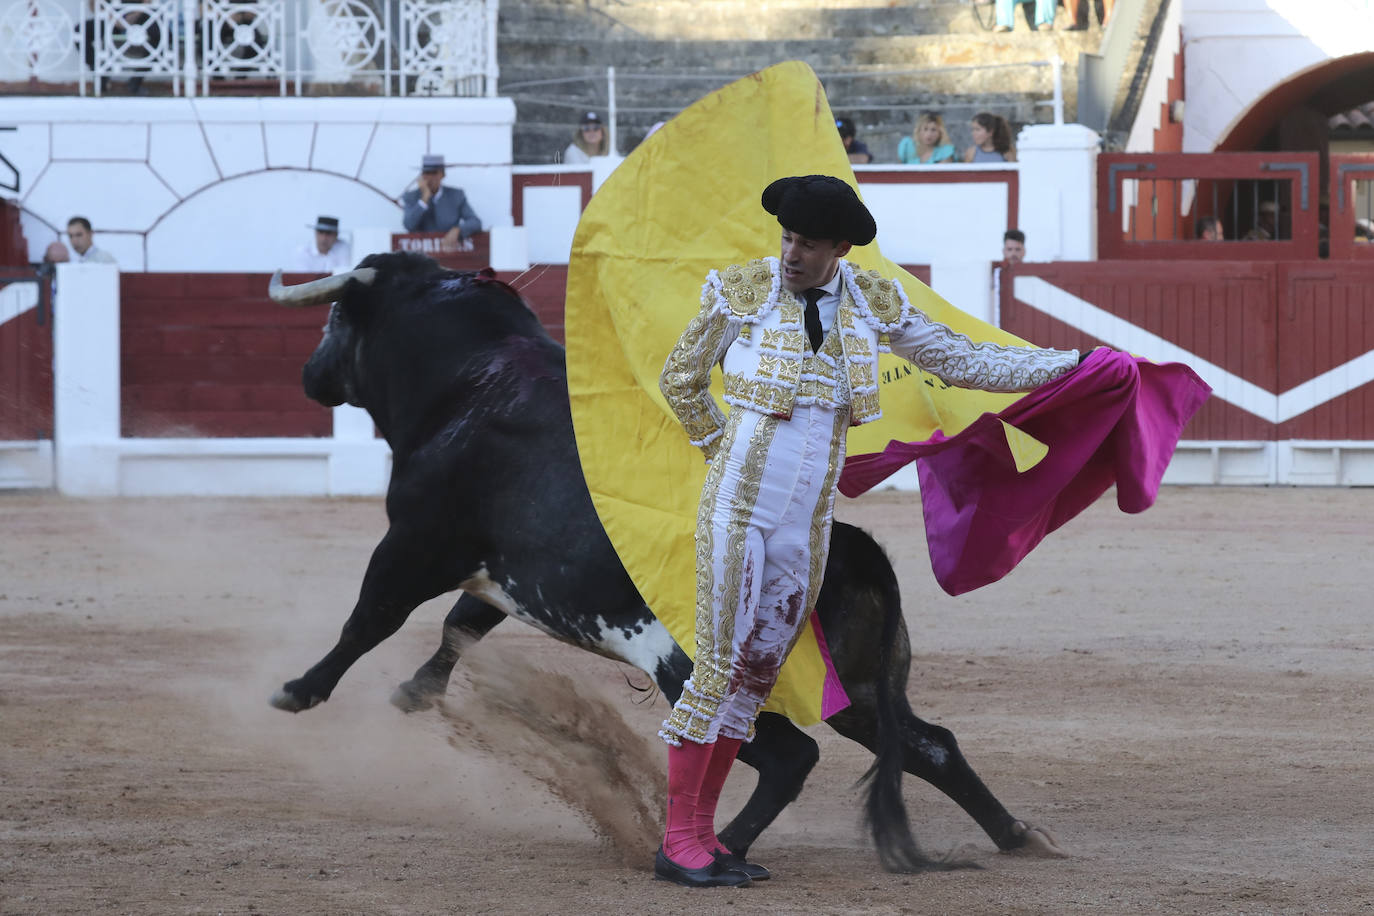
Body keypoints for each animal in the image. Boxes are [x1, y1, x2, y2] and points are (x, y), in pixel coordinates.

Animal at [265, 252, 1060, 873]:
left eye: (333, 319)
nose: (307, 375)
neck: (472, 379)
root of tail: (855, 551)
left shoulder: (414, 542)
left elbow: (371, 618)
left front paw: (297, 691)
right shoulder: (504, 567)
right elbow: (461, 624)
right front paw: (414, 692)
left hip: (697, 672)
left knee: (788, 758)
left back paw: (715, 850)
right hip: (859, 690)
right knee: (928, 746)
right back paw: (1016, 834)